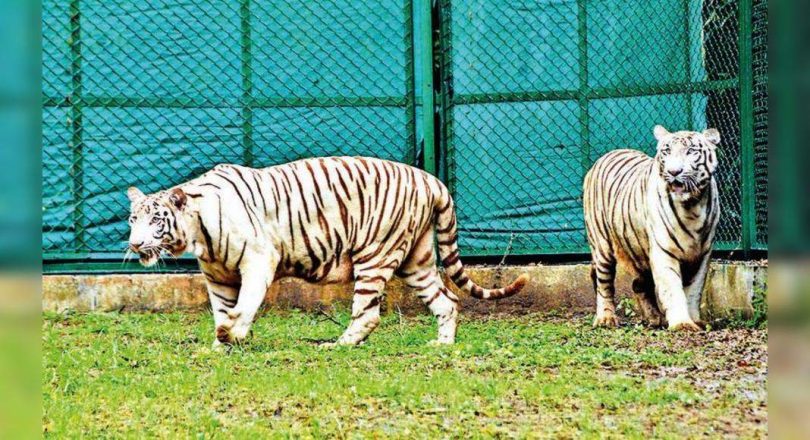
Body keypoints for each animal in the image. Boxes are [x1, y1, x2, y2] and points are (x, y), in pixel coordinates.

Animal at [127, 156, 529, 347]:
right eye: (133, 218)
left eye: (156, 220)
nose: (134, 243)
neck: (198, 234)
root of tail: (432, 180)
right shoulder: (217, 275)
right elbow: (222, 309)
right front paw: (220, 342)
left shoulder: (259, 261)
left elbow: (244, 305)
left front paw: (232, 333)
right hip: (417, 262)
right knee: (447, 300)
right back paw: (441, 344)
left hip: (375, 256)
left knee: (368, 314)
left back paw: (338, 345)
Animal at [582, 125, 721, 331]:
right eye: (667, 151)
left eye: (691, 151)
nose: (674, 171)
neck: (692, 206)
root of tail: (601, 158)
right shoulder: (664, 251)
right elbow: (673, 289)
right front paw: (682, 323)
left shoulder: (702, 255)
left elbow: (694, 291)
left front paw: (695, 320)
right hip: (602, 247)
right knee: (604, 284)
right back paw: (606, 319)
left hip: (639, 249)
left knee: (637, 284)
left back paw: (654, 318)